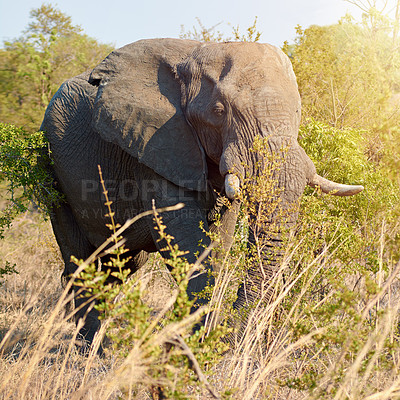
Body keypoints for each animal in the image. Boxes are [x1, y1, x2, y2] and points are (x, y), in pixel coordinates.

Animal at [39, 39, 362, 348]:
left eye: (297, 112)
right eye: (219, 112)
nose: (227, 343)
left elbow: (219, 241)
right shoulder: (156, 144)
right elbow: (184, 240)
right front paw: (192, 349)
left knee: (119, 266)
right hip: (51, 167)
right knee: (80, 264)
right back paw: (89, 351)